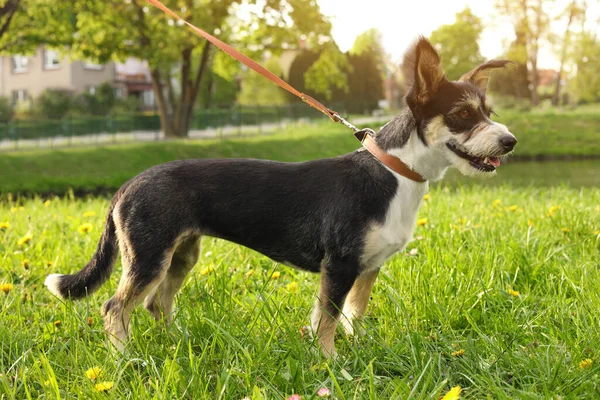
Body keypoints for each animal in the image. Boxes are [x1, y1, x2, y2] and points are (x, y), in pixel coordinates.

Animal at [44, 37, 516, 356]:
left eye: (489, 112)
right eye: (462, 115)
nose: (510, 141)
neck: (393, 172)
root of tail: (127, 185)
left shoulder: (367, 269)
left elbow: (353, 316)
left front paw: (359, 348)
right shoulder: (339, 265)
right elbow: (327, 320)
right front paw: (331, 363)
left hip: (181, 255)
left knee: (156, 305)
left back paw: (179, 342)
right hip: (148, 258)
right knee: (114, 307)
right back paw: (127, 358)